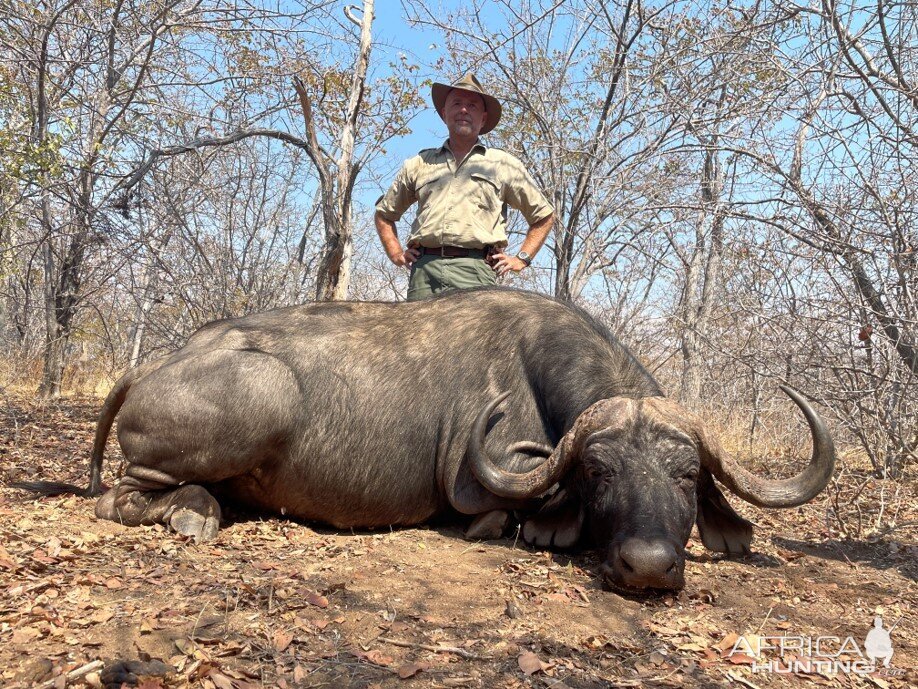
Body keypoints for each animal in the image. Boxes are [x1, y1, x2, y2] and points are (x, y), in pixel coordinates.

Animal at [18, 284, 836, 592]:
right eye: (600, 474)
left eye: (687, 477)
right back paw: (195, 511)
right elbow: (509, 513)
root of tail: (154, 363)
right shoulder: (487, 480)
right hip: (258, 398)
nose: (647, 565)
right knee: (120, 496)